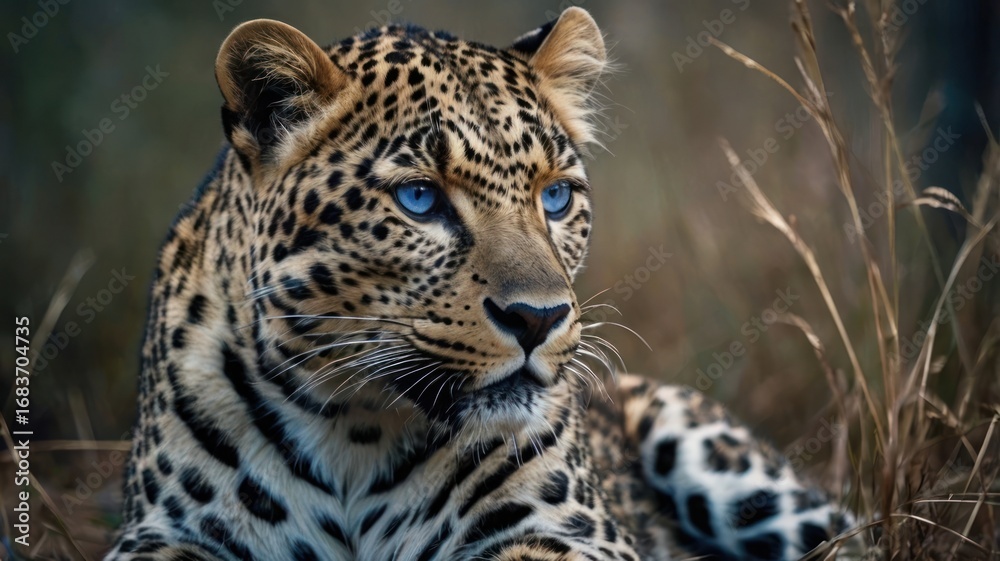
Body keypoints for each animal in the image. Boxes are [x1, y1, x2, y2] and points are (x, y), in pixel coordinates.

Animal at [106, 8, 855, 561]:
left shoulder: (572, 531)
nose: (538, 319)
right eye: (419, 198)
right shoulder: (162, 535)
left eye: (555, 197)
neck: (354, 428)